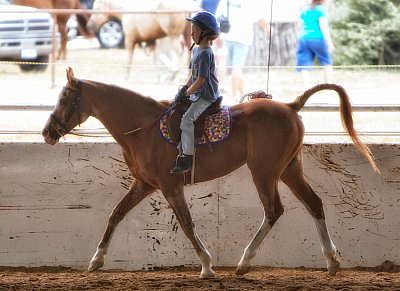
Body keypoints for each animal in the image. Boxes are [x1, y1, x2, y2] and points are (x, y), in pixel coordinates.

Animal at [42, 67, 380, 280]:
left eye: (63, 99)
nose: (47, 132)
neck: (143, 127)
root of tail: (289, 106)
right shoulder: (144, 184)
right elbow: (115, 214)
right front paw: (96, 260)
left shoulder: (170, 186)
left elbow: (187, 224)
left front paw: (206, 265)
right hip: (289, 170)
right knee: (314, 204)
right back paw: (332, 261)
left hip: (264, 172)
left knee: (274, 210)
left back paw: (244, 263)